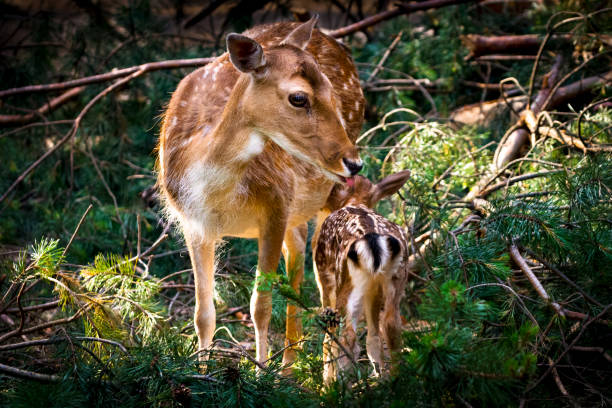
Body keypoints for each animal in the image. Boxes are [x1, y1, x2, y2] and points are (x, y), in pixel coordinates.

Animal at [158, 16, 366, 366]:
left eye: (330, 92)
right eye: (298, 97)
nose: (353, 162)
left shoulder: (275, 207)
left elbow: (260, 306)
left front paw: (260, 371)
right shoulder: (193, 223)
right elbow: (203, 312)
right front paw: (199, 369)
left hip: (325, 195)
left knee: (325, 280)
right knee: (297, 251)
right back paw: (291, 362)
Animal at [316, 169, 412, 382]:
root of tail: (373, 240)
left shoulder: (323, 277)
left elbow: (328, 335)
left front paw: (326, 381)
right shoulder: (373, 291)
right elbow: (374, 336)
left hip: (345, 281)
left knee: (346, 334)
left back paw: (339, 384)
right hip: (396, 278)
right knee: (391, 324)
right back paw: (395, 379)